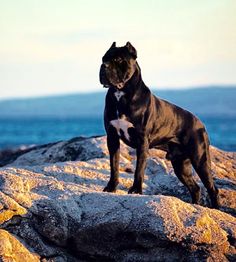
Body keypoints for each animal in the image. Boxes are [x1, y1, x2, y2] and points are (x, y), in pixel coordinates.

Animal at [99, 42, 219, 208]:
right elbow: (114, 165)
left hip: (200, 160)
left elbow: (139, 169)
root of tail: (200, 123)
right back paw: (195, 205)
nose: (103, 66)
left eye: (118, 59)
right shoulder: (112, 138)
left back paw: (216, 208)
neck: (120, 93)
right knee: (195, 188)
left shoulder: (142, 141)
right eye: (103, 58)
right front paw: (111, 187)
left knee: (212, 188)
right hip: (180, 165)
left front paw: (136, 190)